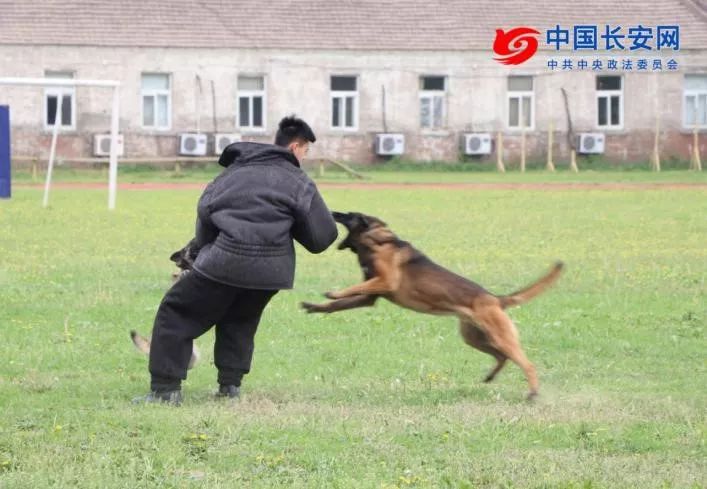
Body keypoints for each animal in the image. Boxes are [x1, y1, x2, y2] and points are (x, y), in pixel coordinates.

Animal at [302, 212, 564, 398]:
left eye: (347, 215)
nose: (333, 212)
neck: (380, 242)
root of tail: (495, 298)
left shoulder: (385, 281)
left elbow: (353, 288)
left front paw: (333, 292)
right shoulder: (370, 295)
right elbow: (342, 302)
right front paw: (316, 306)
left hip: (500, 336)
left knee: (526, 363)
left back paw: (533, 392)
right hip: (474, 337)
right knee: (502, 357)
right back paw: (490, 376)